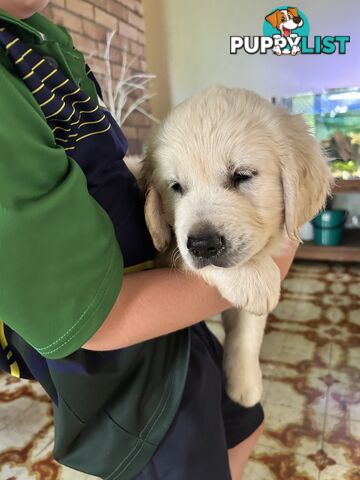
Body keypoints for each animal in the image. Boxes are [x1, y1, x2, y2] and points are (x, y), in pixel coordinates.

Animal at [140, 85, 332, 404]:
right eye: (176, 187)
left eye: (242, 176)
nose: (202, 245)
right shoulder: (167, 249)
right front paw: (253, 277)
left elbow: (247, 332)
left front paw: (244, 383)